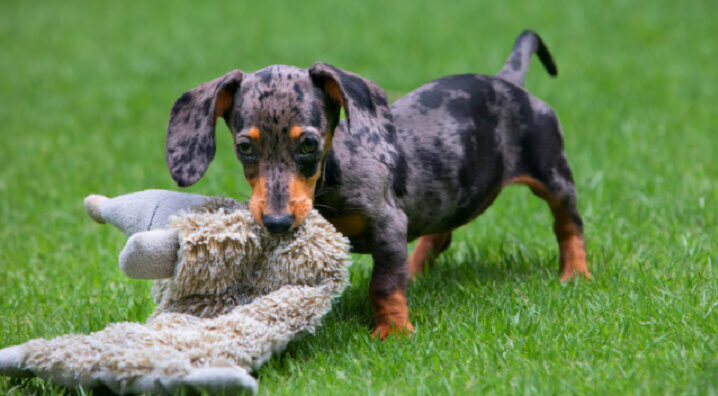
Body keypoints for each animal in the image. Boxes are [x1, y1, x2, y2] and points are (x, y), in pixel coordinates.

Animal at [166, 31, 592, 340]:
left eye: (309, 144)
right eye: (244, 148)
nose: (276, 222)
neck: (329, 181)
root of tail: (508, 82)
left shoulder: (388, 224)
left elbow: (383, 285)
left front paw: (394, 331)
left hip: (553, 173)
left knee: (568, 224)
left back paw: (576, 274)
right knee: (439, 234)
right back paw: (417, 269)